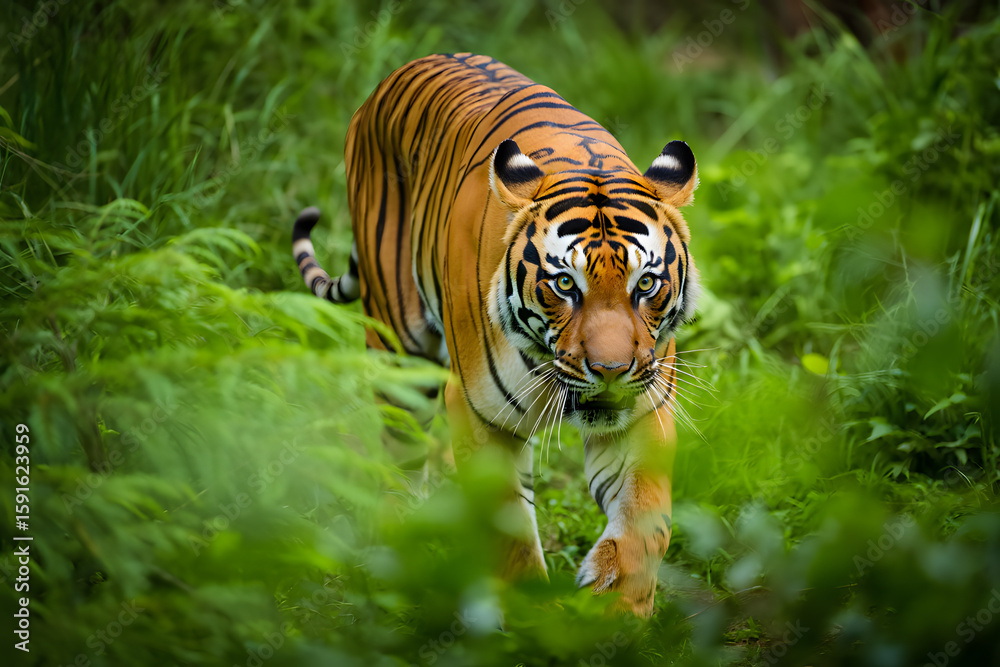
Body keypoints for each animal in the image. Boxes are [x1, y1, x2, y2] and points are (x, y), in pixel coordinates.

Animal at [292, 53, 699, 617]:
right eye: (565, 284)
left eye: (645, 284)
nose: (611, 371)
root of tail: (395, 76)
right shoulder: (480, 412)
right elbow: (510, 537)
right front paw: (531, 618)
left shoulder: (643, 409)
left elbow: (645, 519)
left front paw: (622, 607)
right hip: (400, 351)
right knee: (400, 461)